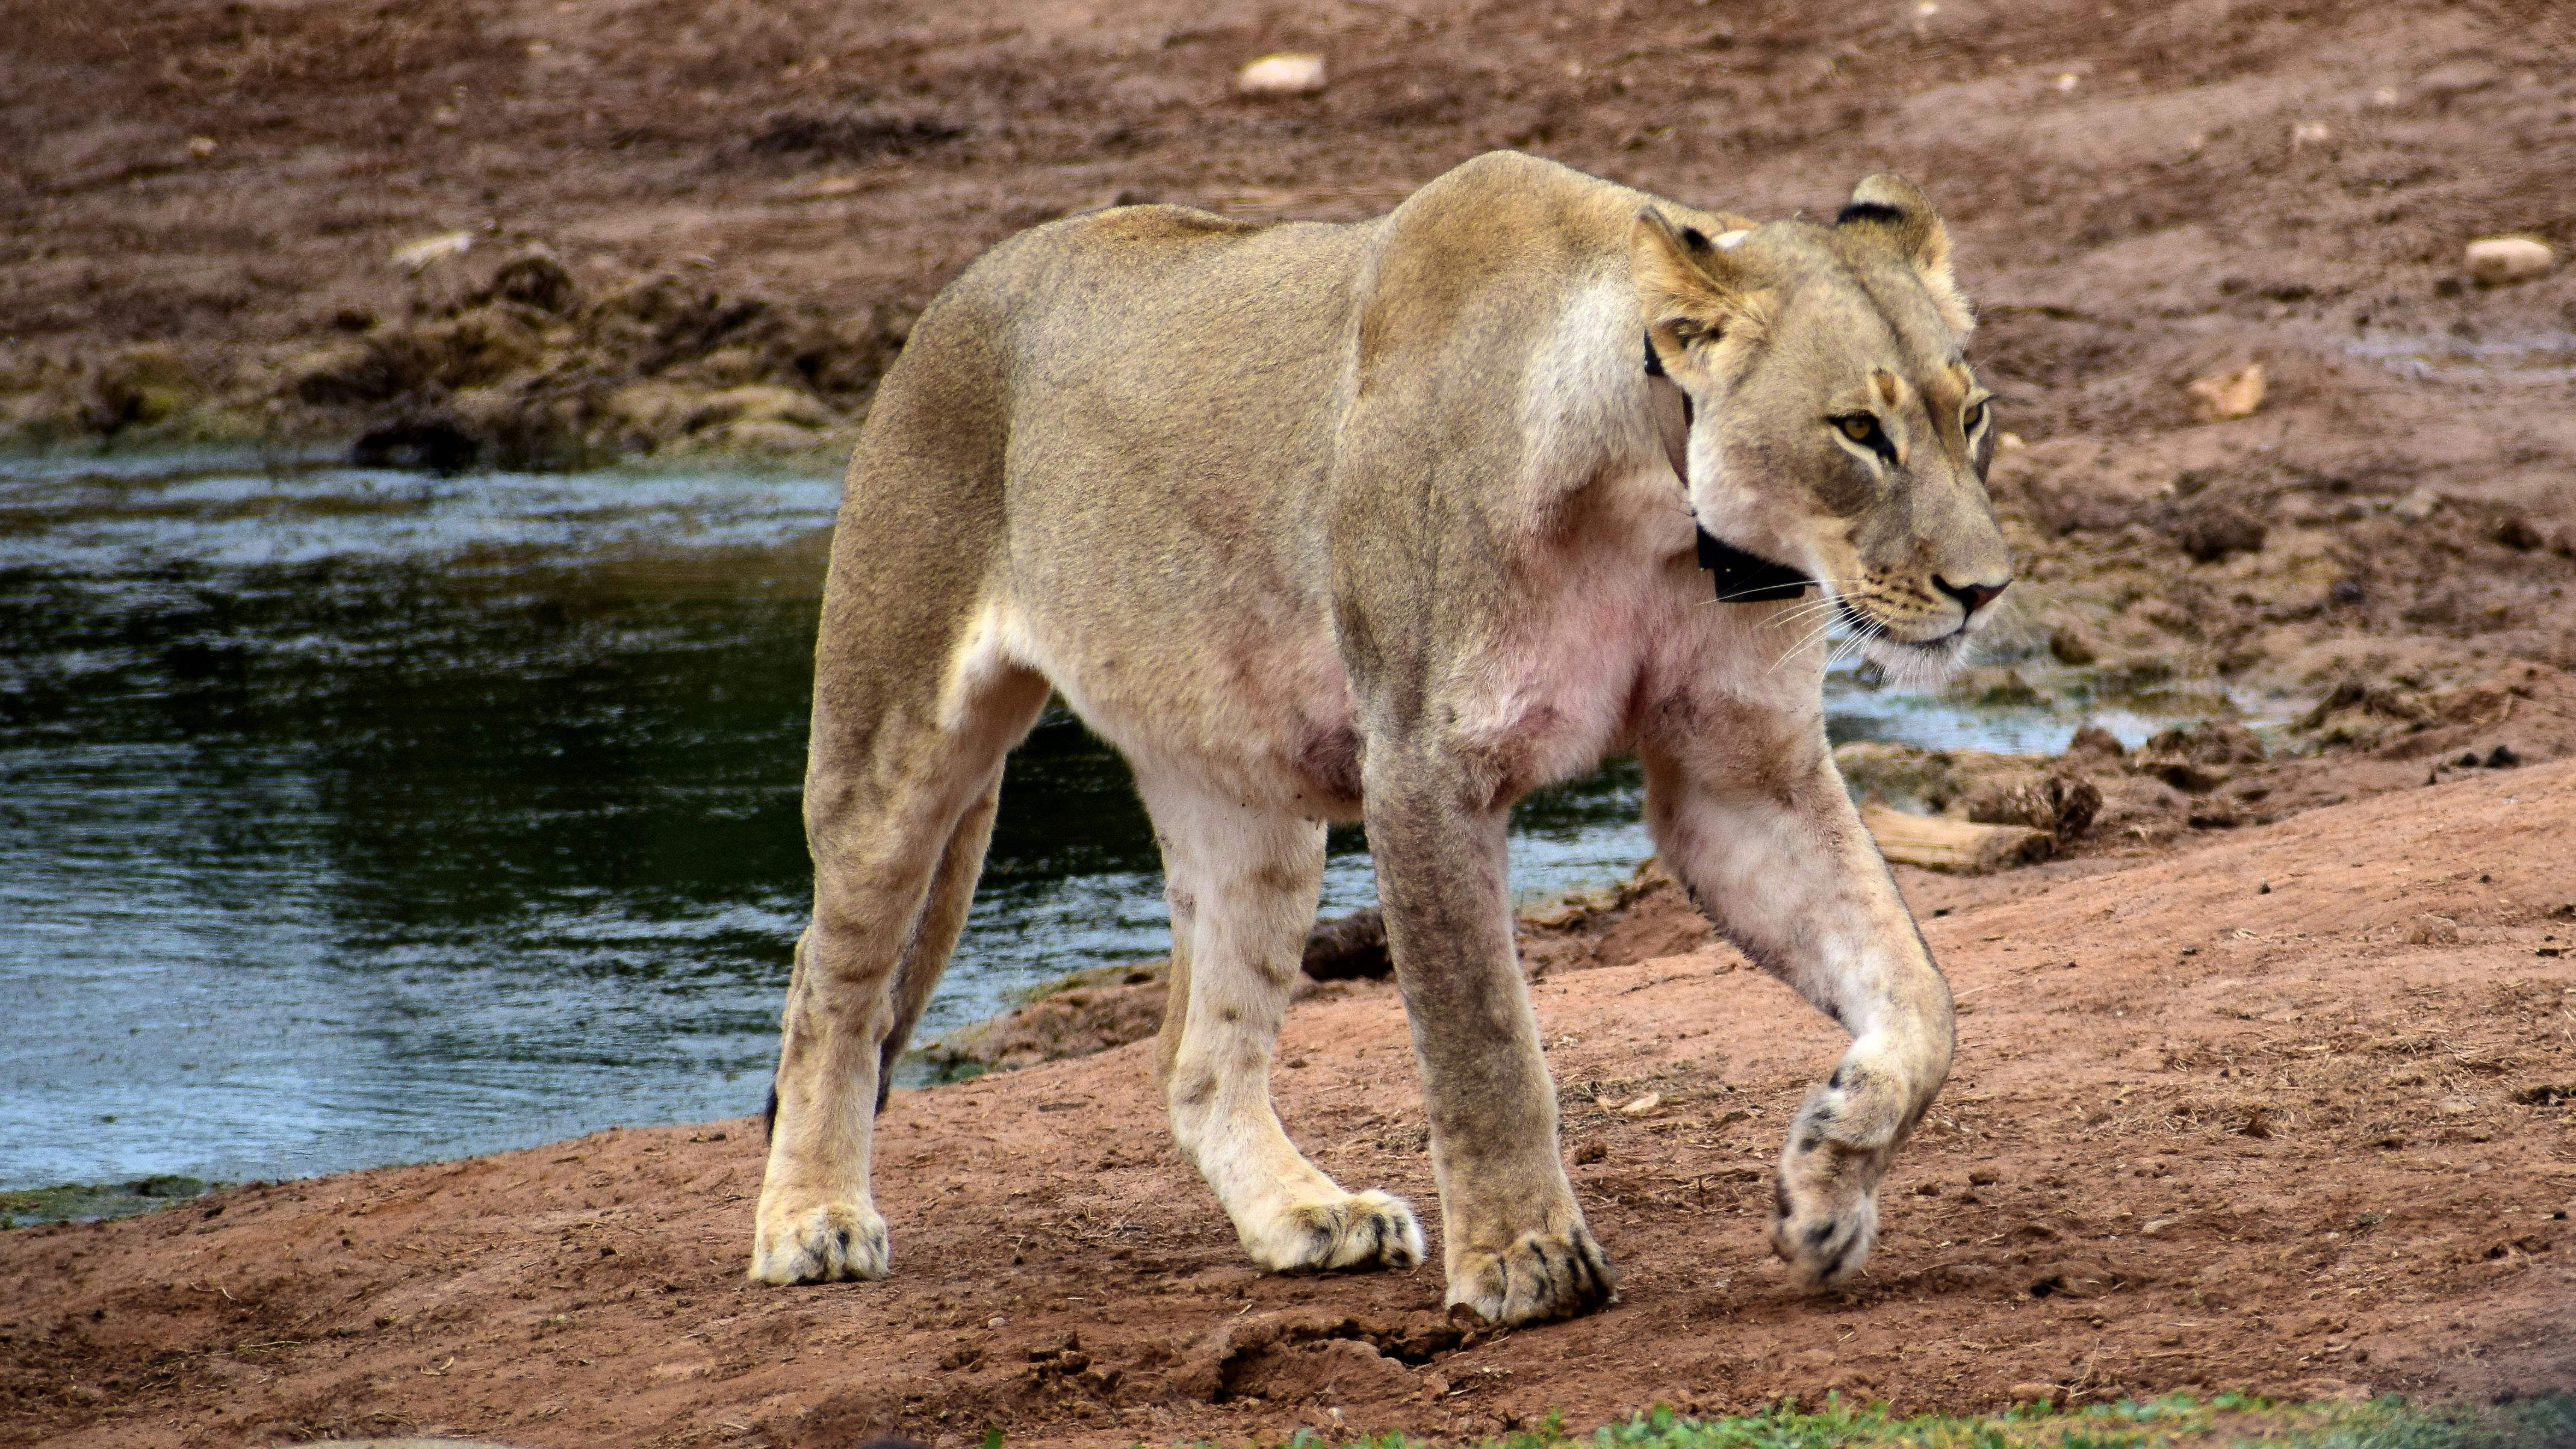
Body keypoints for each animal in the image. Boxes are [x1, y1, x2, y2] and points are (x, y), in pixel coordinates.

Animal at [751, 151, 2009, 1326]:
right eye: (1858, 430)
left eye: (1971, 415)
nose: (1985, 590)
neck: (1655, 509)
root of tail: (956, 293)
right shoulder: (1424, 762)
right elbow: (1484, 1038)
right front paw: (1523, 1260)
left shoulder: (1735, 771)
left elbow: (1920, 996)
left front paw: (1827, 1176)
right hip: (895, 732)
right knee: (831, 979)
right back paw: (811, 1220)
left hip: (1248, 800)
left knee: (1193, 1057)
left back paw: (1307, 1215)